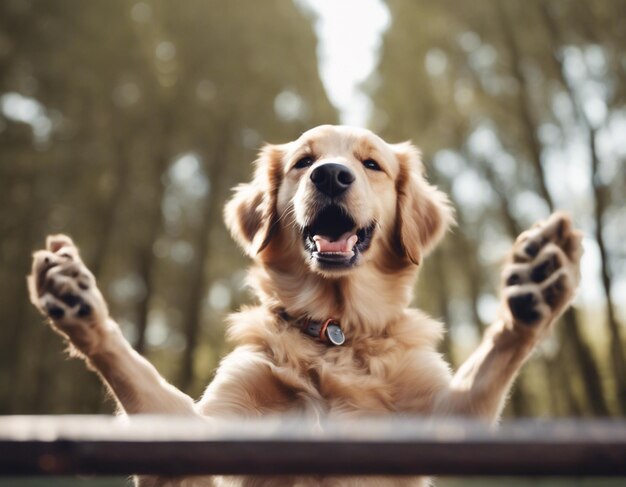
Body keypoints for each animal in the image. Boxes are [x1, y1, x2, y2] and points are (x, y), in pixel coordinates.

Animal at [28, 124, 580, 486]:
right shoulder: (203, 439)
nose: (331, 175)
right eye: (302, 162)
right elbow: (140, 379)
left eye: (371, 164)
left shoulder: (446, 416)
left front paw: (531, 286)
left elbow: (484, 372)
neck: (335, 330)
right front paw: (79, 300)